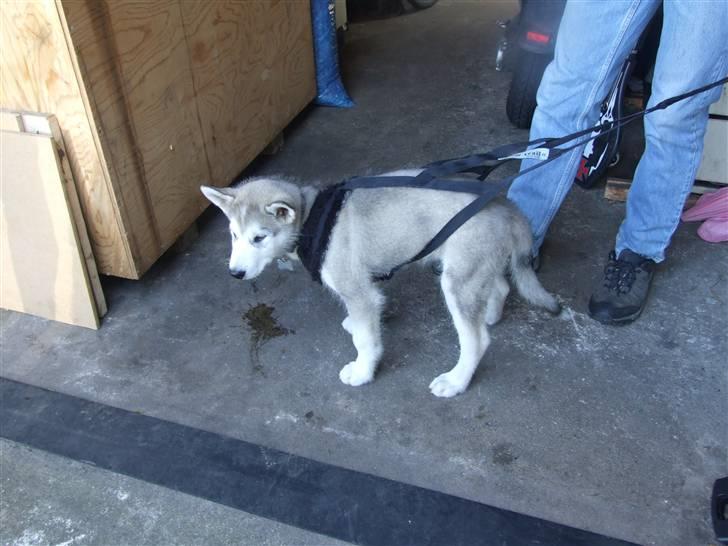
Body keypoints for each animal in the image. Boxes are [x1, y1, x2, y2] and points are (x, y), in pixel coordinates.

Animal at [201, 170, 560, 398]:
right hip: (473, 266)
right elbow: (362, 325)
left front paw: (363, 371)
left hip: (457, 281)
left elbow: (365, 339)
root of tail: (506, 206)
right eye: (234, 235)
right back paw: (490, 314)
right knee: (500, 286)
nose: (235, 273)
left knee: (476, 340)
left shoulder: (358, 290)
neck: (312, 218)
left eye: (259, 238)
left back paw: (456, 380)